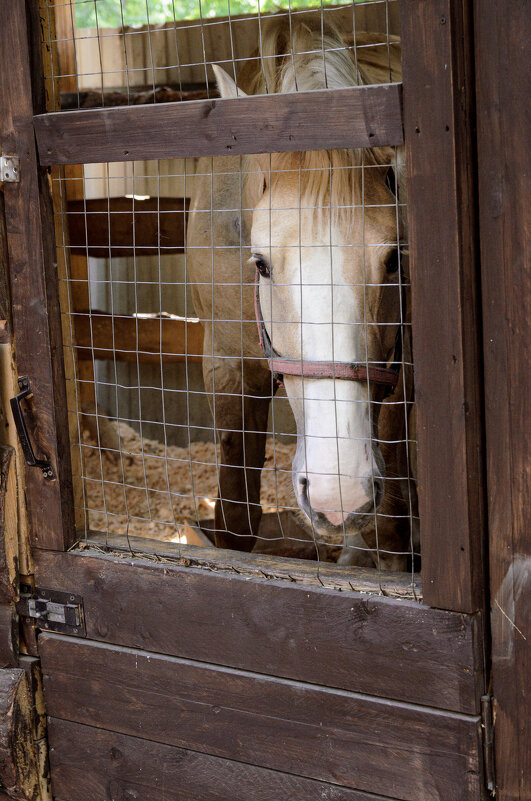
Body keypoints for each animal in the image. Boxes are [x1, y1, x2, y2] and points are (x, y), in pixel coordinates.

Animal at [189, 17, 418, 568]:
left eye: (394, 259)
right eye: (261, 264)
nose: (340, 490)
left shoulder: (398, 372)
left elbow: (392, 529)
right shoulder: (226, 365)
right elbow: (235, 522)